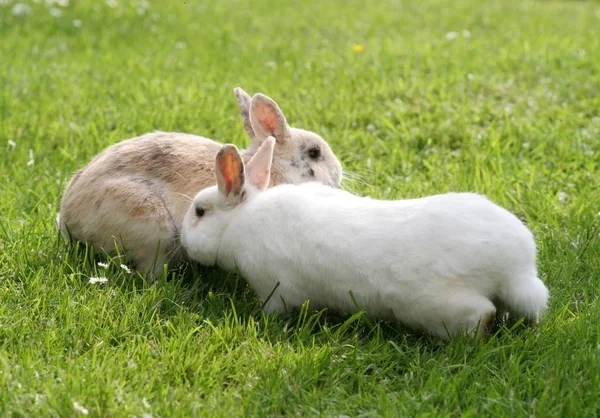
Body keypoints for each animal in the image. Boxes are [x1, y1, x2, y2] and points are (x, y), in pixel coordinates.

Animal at [182, 139, 548, 338]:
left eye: (199, 211)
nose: (183, 241)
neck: (242, 220)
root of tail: (515, 269)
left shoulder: (275, 288)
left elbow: (273, 308)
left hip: (436, 307)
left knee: (481, 315)